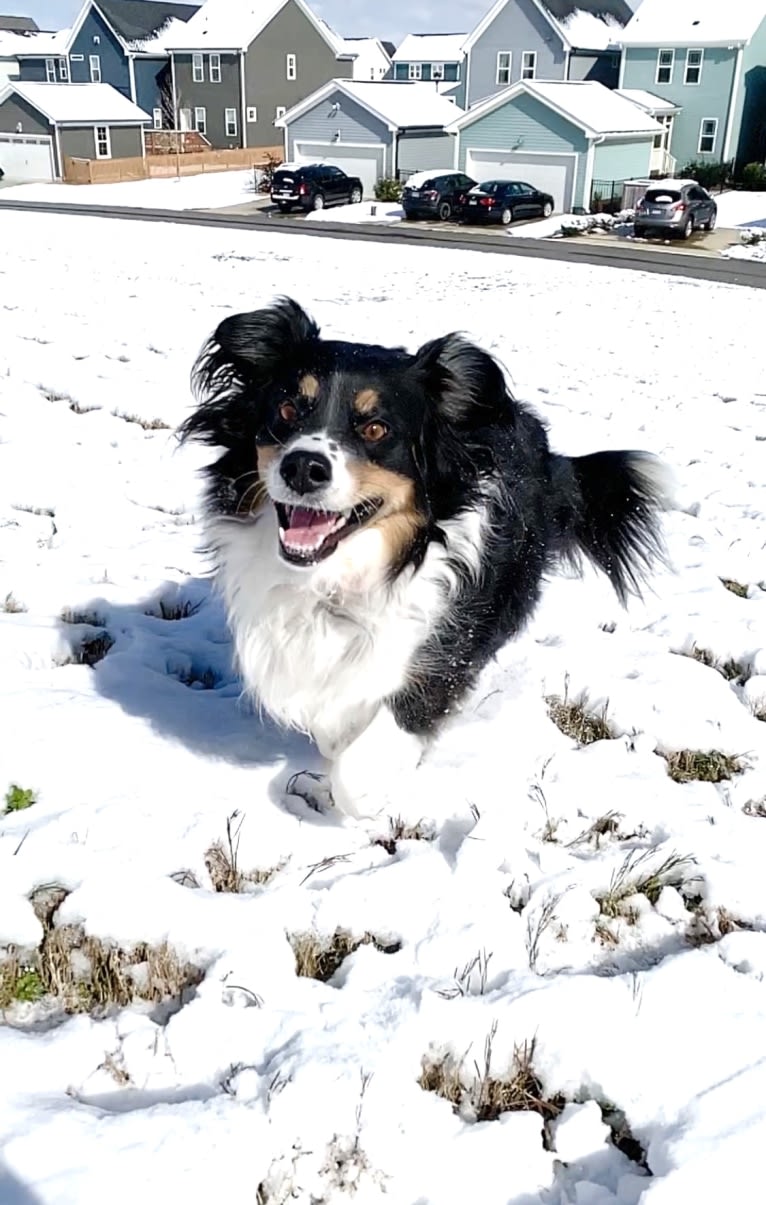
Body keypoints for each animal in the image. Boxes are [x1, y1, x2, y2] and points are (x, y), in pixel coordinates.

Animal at [183, 301, 669, 819]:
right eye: (287, 409)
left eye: (376, 428)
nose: (303, 467)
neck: (336, 578)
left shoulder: (438, 653)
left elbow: (357, 768)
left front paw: (372, 789)